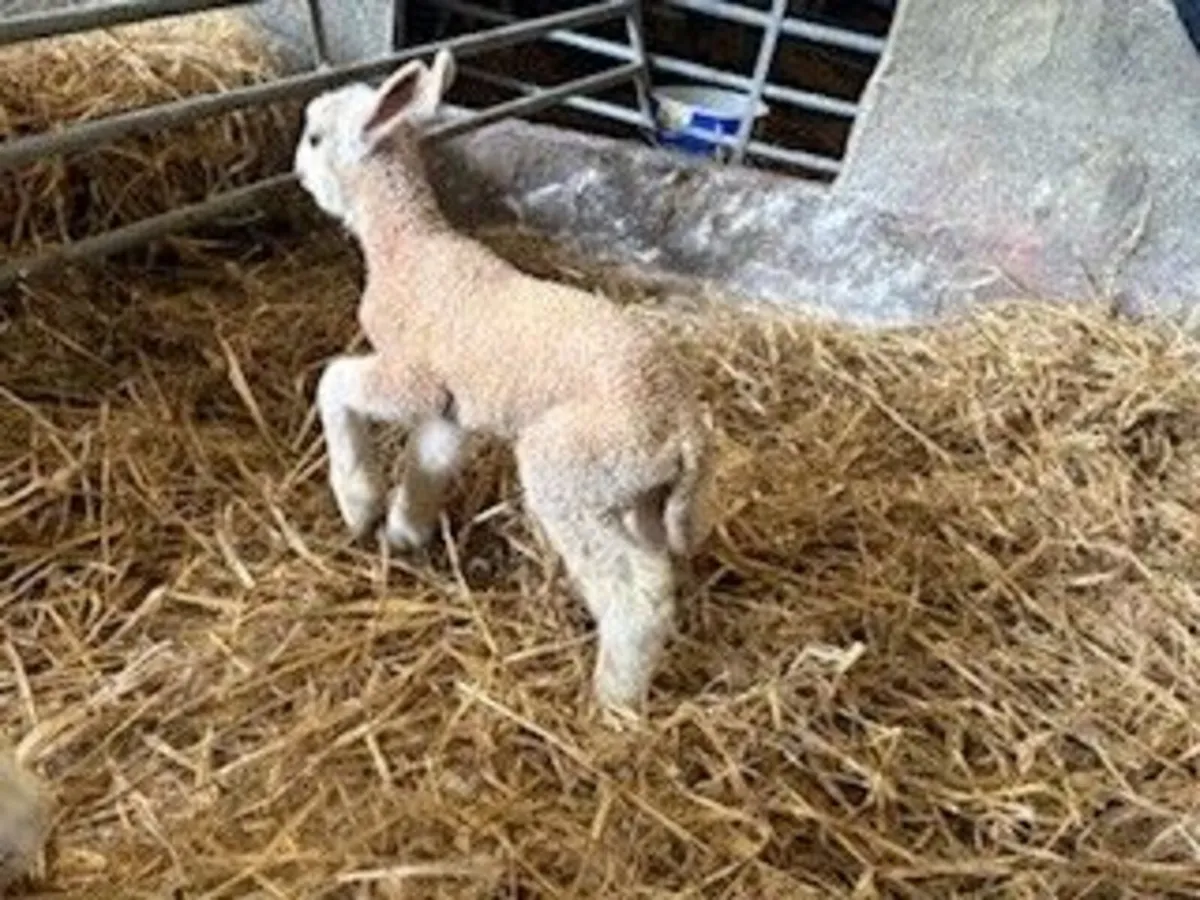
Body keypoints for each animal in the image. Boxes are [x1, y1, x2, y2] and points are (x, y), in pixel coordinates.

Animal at [293, 48, 714, 718]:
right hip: (639, 492)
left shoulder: (413, 374)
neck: (408, 246)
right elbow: (429, 462)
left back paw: (614, 702)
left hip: (572, 469)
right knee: (661, 558)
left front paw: (358, 500)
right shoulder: (450, 406)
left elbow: (334, 384)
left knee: (638, 591)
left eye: (314, 137)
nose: (295, 170)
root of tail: (684, 430)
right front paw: (404, 532)